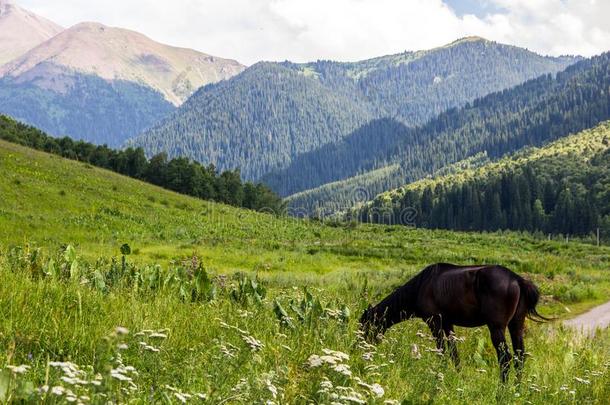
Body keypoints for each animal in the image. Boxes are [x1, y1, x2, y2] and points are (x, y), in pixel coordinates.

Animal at [358, 264, 548, 380]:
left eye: (365, 327)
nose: (360, 349)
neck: (421, 285)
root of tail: (517, 279)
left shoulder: (434, 322)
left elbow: (441, 350)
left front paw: (440, 373)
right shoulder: (448, 324)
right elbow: (454, 353)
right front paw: (458, 375)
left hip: (497, 328)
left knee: (505, 358)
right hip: (516, 326)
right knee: (519, 357)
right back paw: (516, 389)